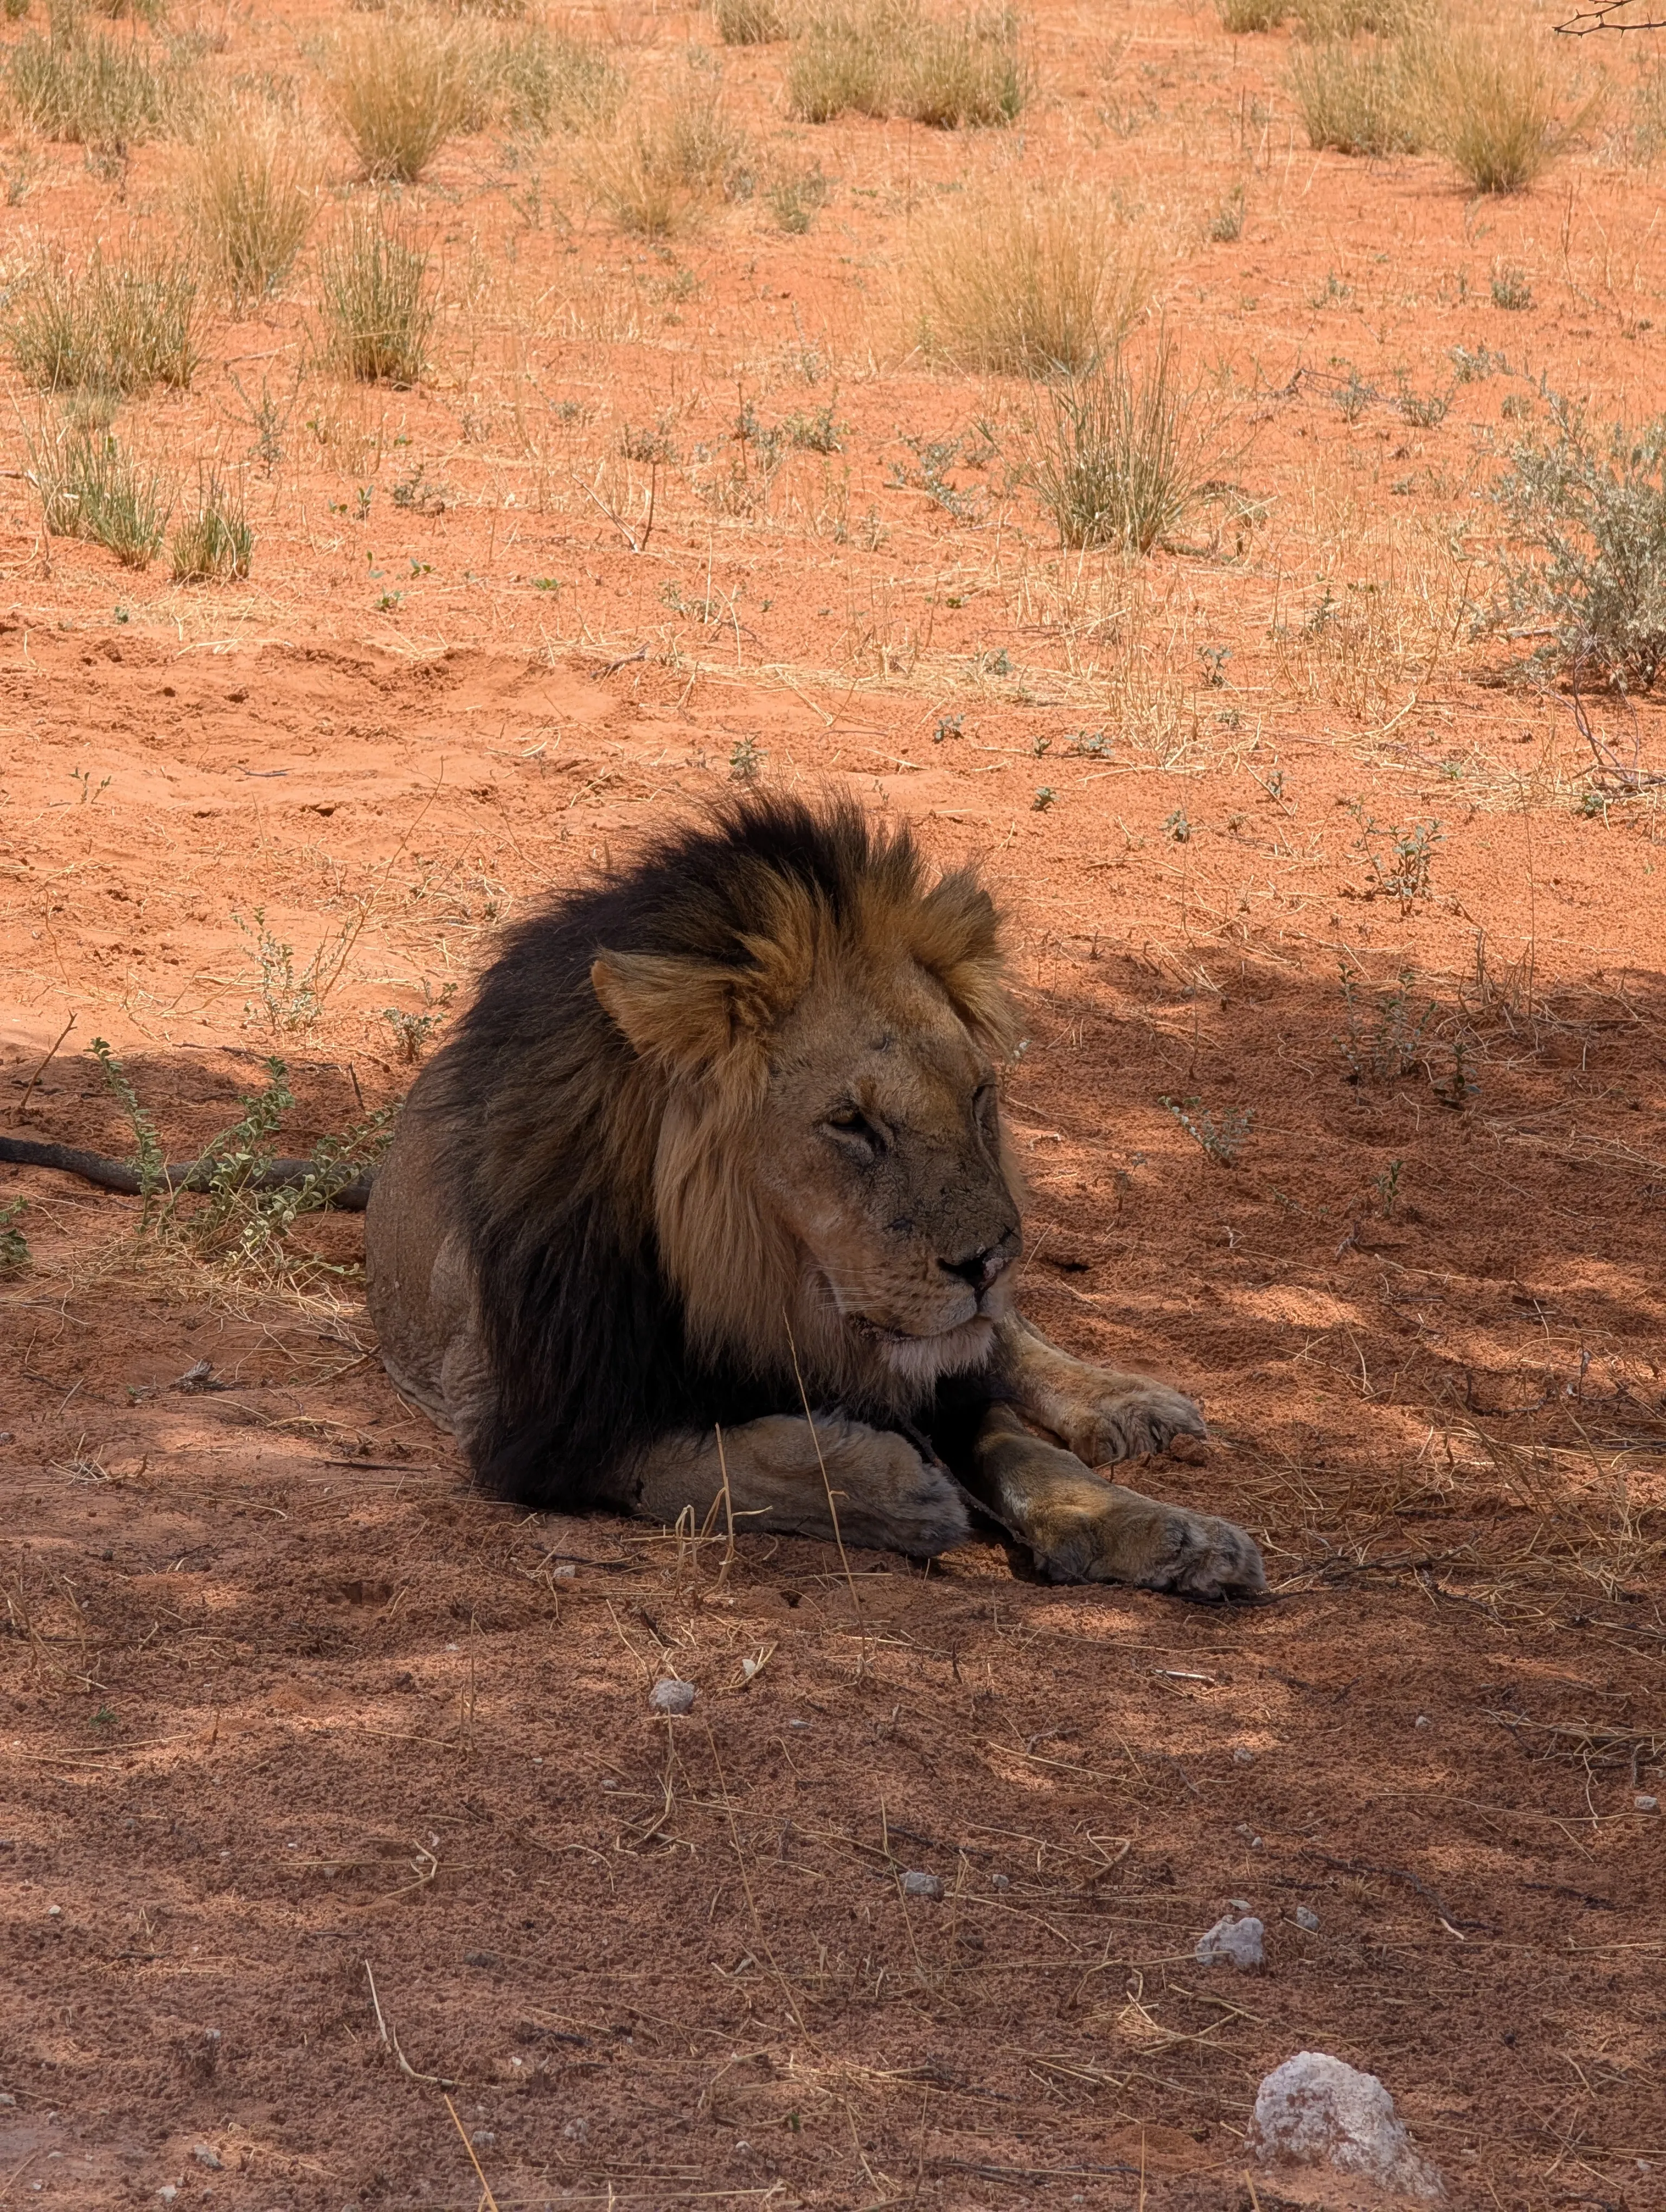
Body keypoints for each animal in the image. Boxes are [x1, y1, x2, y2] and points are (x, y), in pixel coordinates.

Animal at [365, 794, 1266, 1597]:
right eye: (851, 1123)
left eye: (979, 1096)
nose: (993, 1260)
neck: (770, 1294)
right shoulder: (533, 1418)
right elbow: (706, 1463)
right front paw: (892, 1485)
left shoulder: (941, 1374)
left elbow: (1023, 1445)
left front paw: (1165, 1533)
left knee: (1009, 1336)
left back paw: (1132, 1405)